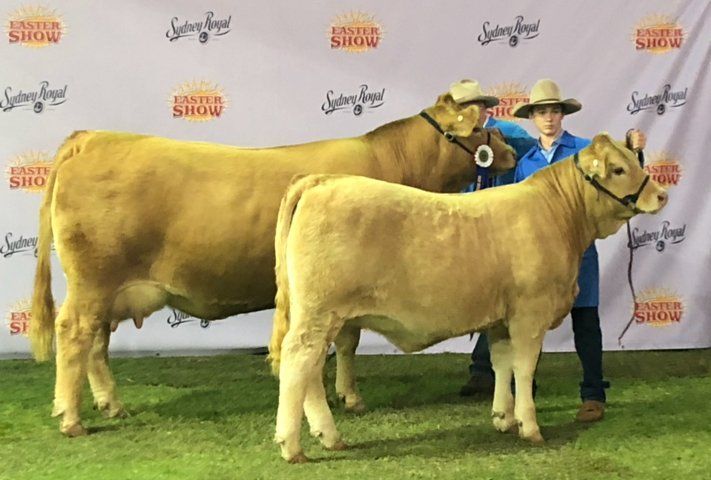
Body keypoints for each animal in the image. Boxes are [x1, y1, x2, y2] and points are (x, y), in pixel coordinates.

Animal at [29, 93, 516, 437]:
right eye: (480, 127)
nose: (511, 148)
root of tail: (91, 137)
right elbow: (350, 340)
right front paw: (350, 397)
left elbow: (345, 342)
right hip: (93, 280)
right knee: (74, 333)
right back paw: (71, 418)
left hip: (107, 288)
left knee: (95, 342)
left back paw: (110, 404)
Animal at [268, 133, 668, 462]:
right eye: (618, 168)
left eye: (634, 160)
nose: (661, 195)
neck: (559, 214)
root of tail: (322, 179)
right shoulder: (530, 312)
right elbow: (525, 367)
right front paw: (530, 426)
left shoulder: (501, 319)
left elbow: (502, 364)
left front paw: (504, 418)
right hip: (318, 313)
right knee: (298, 362)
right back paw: (292, 445)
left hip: (322, 316)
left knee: (311, 369)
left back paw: (328, 436)